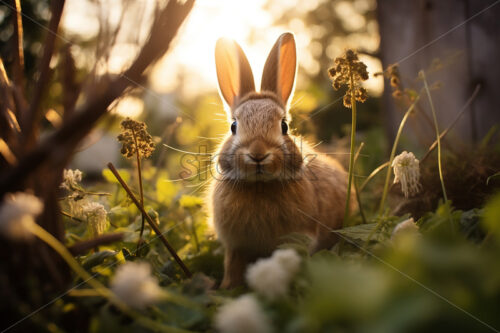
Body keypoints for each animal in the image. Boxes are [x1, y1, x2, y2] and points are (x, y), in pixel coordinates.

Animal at [207, 33, 352, 288]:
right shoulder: (236, 246)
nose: (258, 153)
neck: (260, 186)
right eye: (233, 126)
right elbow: (232, 266)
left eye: (284, 126)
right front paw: (227, 288)